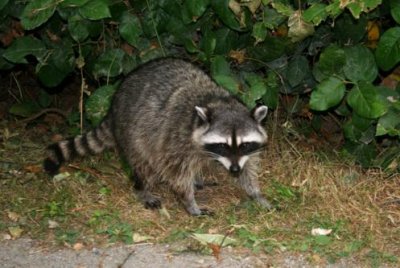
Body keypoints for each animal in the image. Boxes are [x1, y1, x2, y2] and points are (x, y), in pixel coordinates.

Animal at [44, 58, 276, 216]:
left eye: (244, 145)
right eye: (223, 146)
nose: (234, 170)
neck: (218, 102)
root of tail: (113, 106)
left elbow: (249, 167)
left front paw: (255, 192)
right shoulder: (175, 138)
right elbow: (176, 171)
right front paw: (189, 202)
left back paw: (197, 179)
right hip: (132, 134)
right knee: (143, 164)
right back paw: (142, 187)